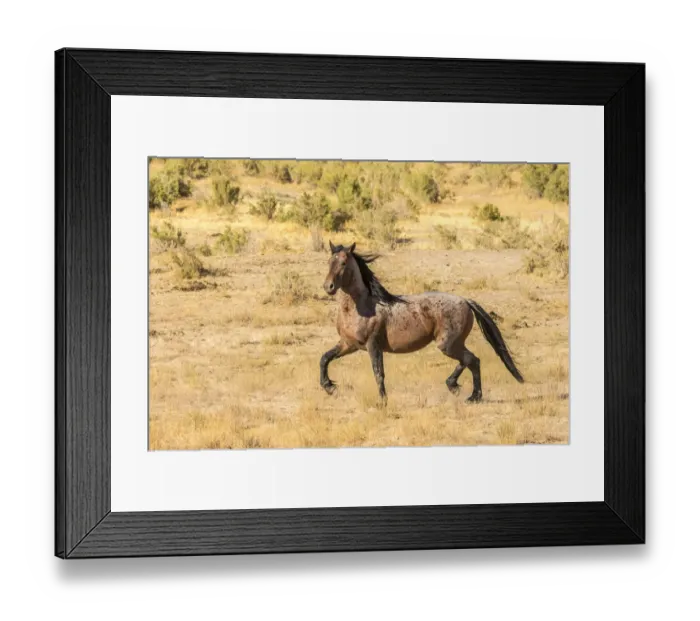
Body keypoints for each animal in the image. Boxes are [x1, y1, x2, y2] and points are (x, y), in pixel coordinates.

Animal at [320, 241, 524, 403]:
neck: (361, 307)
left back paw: (468, 393)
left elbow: (378, 373)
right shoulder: (349, 345)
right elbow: (325, 358)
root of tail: (465, 301)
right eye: (329, 262)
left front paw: (382, 402)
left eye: (343, 263)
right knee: (470, 361)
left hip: (447, 345)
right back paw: (463, 391)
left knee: (471, 360)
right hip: (453, 344)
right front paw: (329, 387)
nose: (328, 287)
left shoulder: (373, 345)